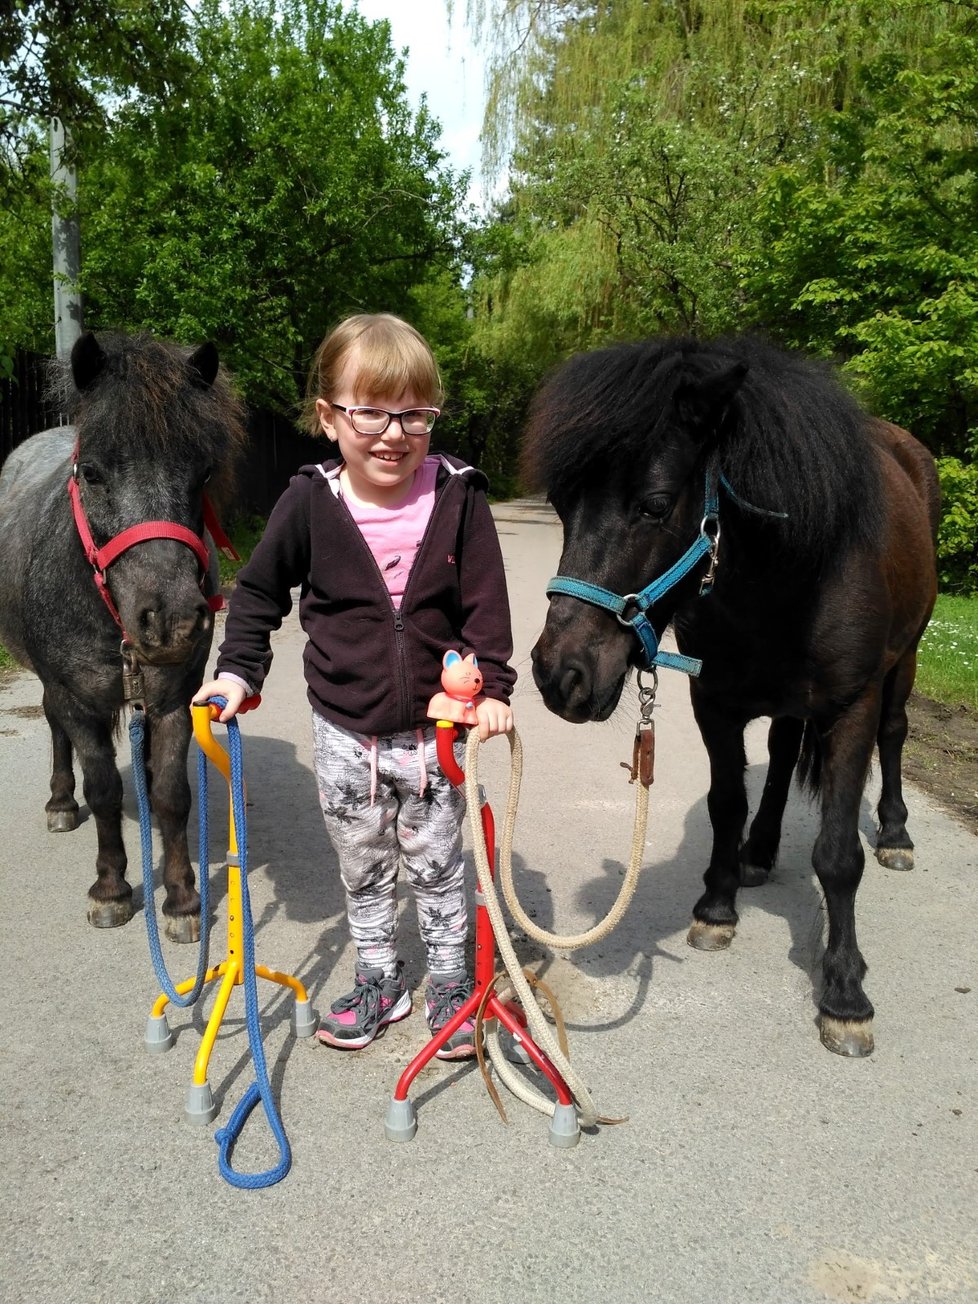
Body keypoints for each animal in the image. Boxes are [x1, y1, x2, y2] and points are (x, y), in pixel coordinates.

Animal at [0, 328, 246, 938]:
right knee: (55, 728)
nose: (172, 620)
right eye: (91, 472)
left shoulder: (174, 699)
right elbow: (105, 790)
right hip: (54, 688)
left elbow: (172, 792)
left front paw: (181, 898)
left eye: (204, 474)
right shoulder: (77, 698)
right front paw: (111, 888)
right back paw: (60, 803)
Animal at [529, 336, 944, 1058]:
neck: (795, 573)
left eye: (654, 504)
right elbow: (728, 803)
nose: (560, 676)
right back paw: (760, 851)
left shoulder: (850, 709)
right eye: (560, 502)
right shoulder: (715, 700)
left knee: (894, 735)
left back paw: (895, 832)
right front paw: (718, 906)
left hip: (907, 658)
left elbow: (838, 853)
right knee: (779, 753)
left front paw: (844, 992)